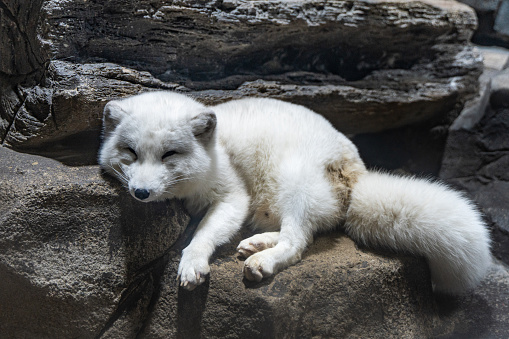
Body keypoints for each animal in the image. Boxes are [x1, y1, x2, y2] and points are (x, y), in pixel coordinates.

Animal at [97, 92, 490, 294]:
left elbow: (203, 234)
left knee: (299, 242)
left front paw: (192, 263)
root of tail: (358, 171)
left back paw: (262, 260)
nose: (141, 192)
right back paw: (256, 243)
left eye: (169, 155)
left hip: (294, 180)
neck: (218, 149)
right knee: (297, 232)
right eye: (130, 152)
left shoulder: (233, 196)